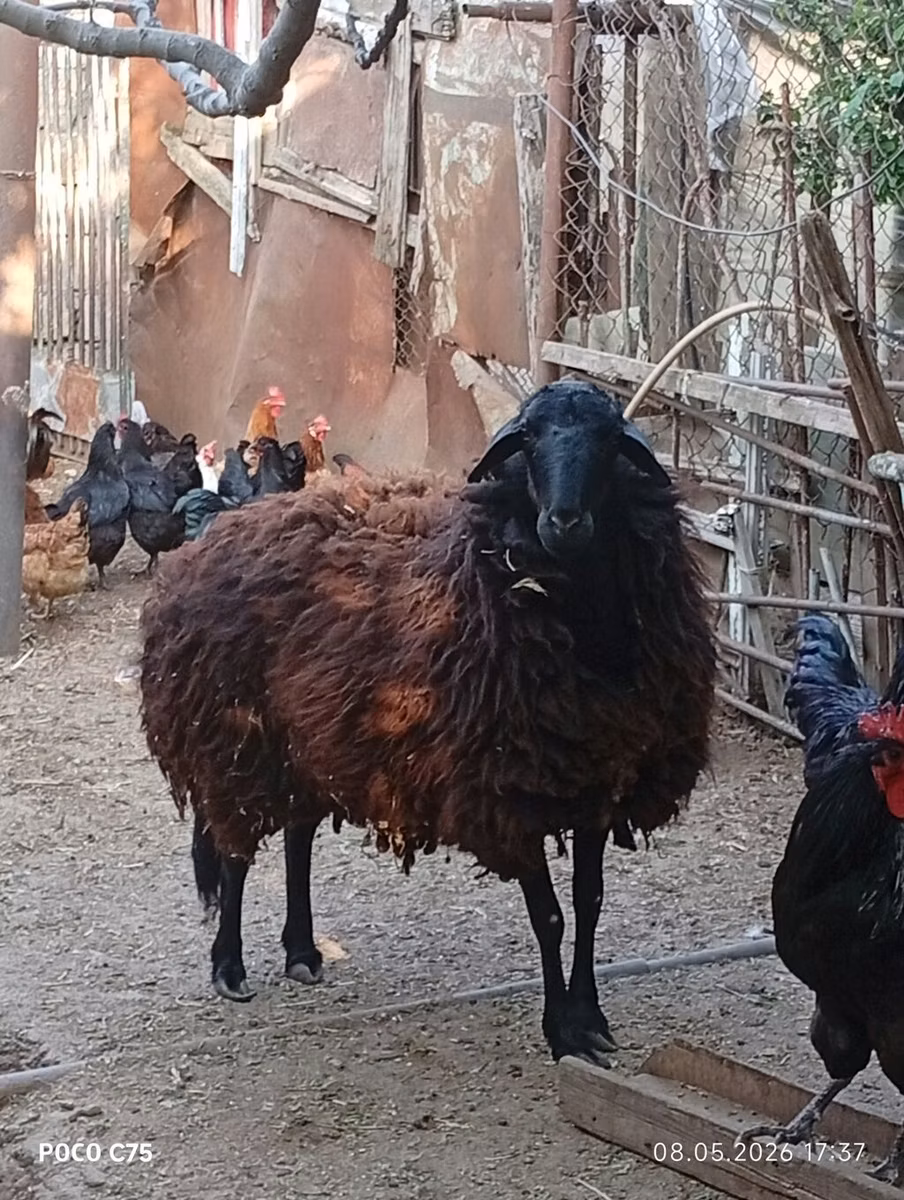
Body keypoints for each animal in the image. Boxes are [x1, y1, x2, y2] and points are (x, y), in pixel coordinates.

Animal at [139, 380, 716, 1063]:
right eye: (530, 439)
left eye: (607, 440)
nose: (564, 522)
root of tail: (213, 538)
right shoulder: (506, 795)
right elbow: (549, 917)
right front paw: (562, 1031)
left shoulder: (600, 782)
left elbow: (589, 903)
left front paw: (591, 1019)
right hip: (236, 739)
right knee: (235, 852)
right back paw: (229, 966)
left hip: (305, 740)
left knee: (298, 841)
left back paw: (303, 951)